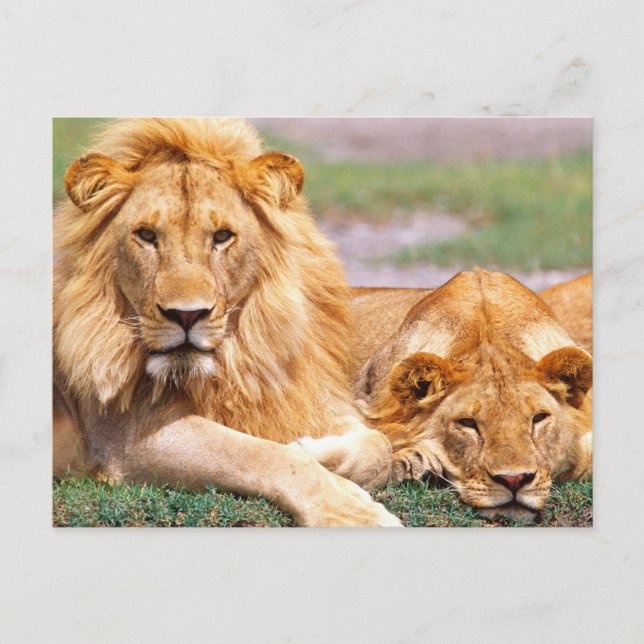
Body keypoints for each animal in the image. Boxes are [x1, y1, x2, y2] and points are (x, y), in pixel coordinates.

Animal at [53, 118, 400, 527]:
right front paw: (348, 509)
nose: (186, 314)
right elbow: (261, 454)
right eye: (147, 236)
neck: (236, 360)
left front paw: (315, 450)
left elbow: (380, 445)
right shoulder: (124, 438)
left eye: (222, 237)